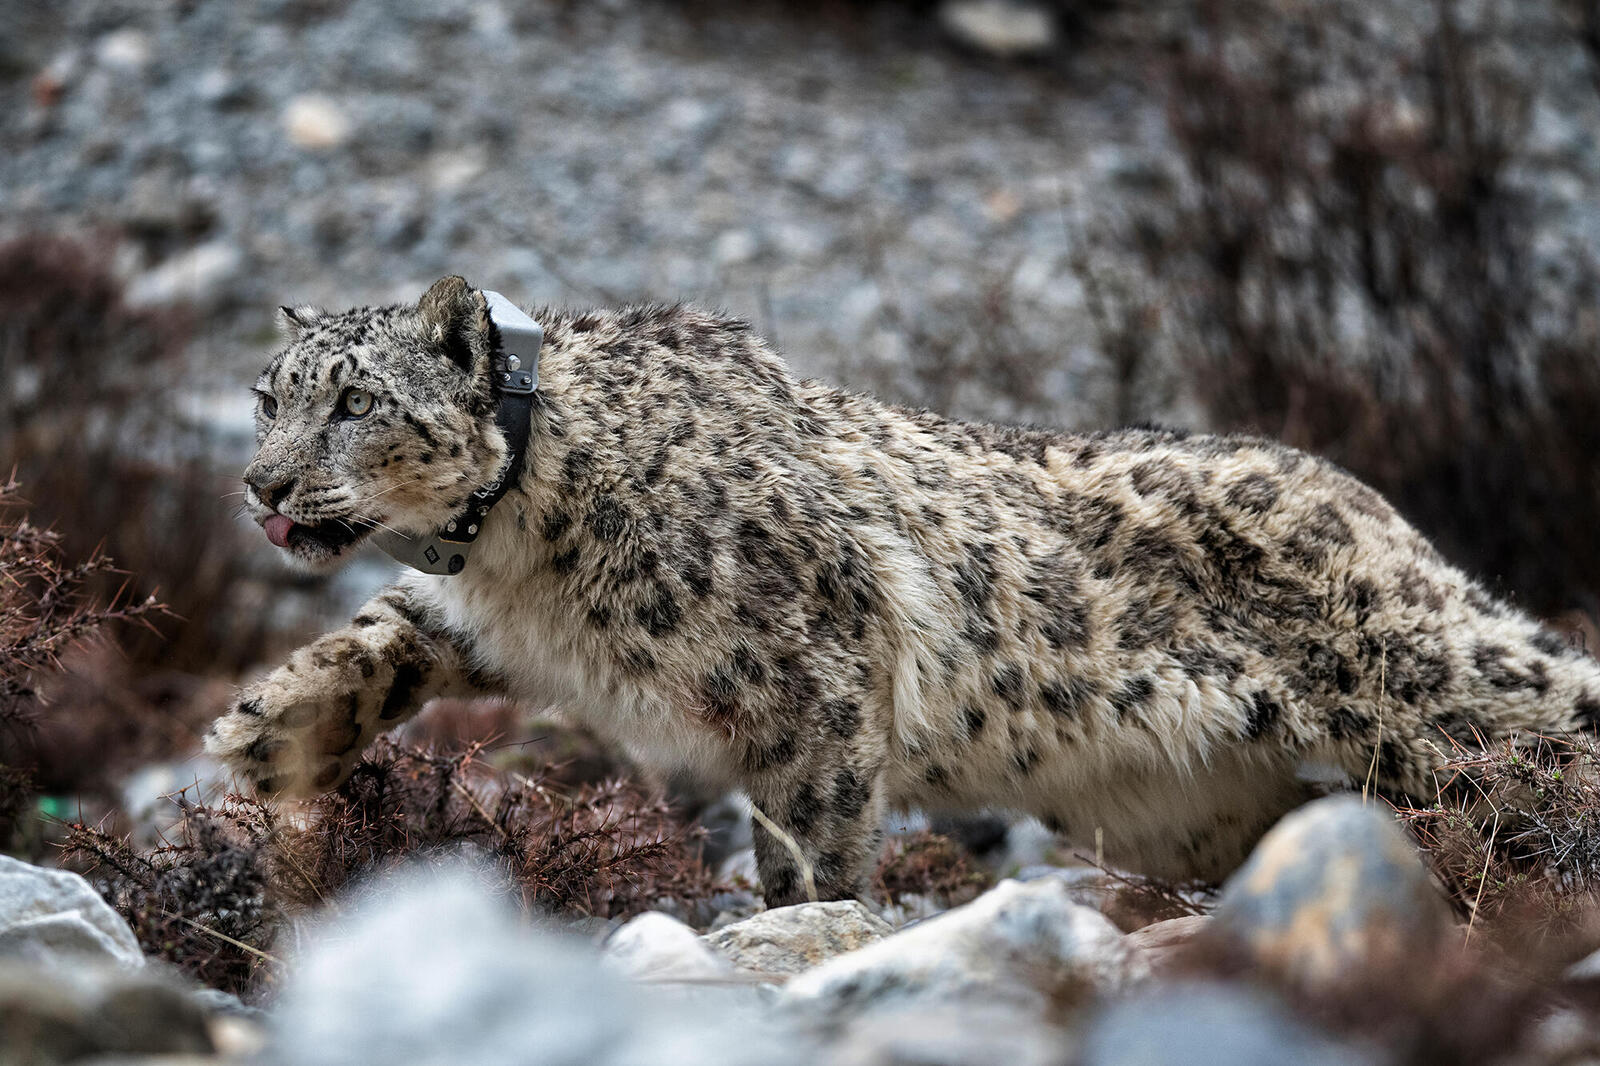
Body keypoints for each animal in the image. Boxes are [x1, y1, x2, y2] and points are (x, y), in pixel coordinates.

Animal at [206, 272, 1600, 896]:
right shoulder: (486, 618)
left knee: (1549, 718)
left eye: (355, 404)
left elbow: (810, 831)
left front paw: (796, 928)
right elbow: (389, 625)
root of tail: (1370, 504)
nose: (263, 484)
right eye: (268, 396)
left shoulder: (808, 675)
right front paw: (273, 732)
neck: (514, 558)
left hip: (1436, 694)